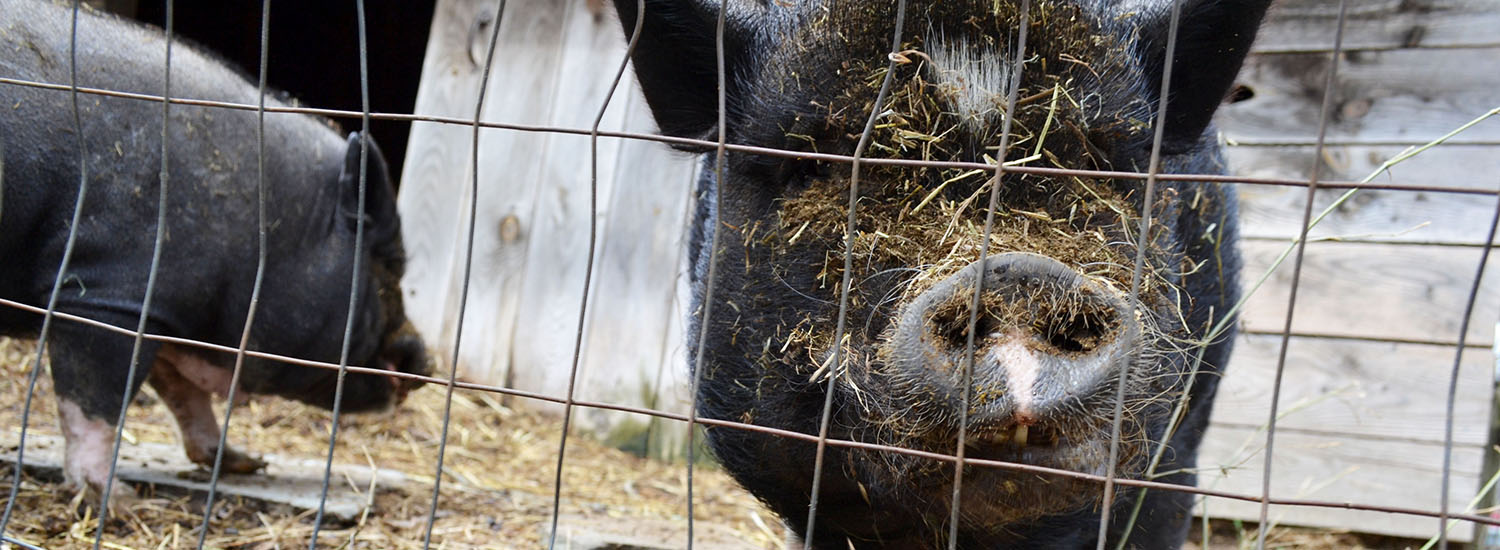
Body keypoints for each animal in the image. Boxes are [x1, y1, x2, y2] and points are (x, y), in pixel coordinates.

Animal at [0, 0, 429, 503]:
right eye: (390, 264)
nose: (425, 361)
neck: (269, 228)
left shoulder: (166, 314)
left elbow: (184, 394)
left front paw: (247, 463)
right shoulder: (108, 295)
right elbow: (94, 400)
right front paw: (115, 498)